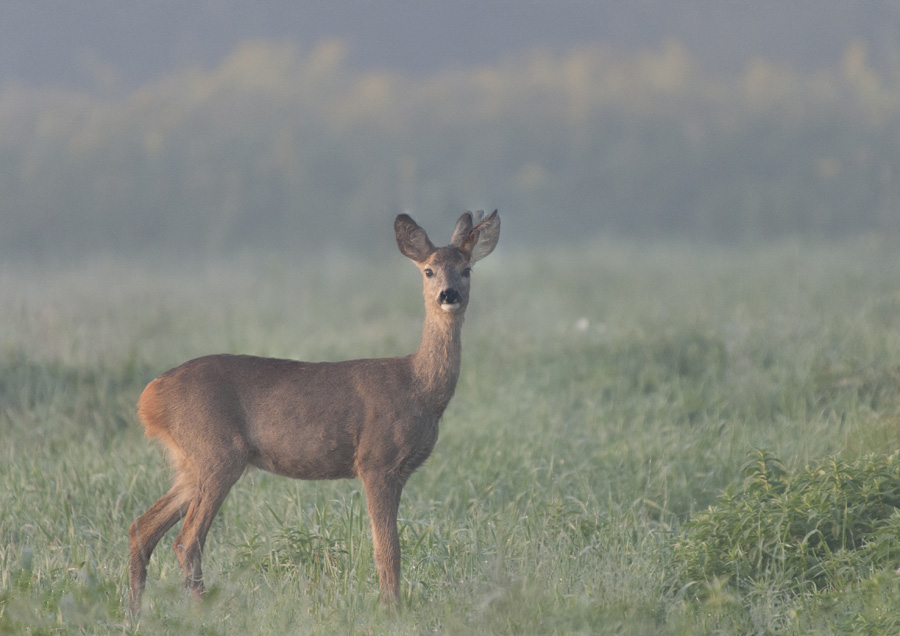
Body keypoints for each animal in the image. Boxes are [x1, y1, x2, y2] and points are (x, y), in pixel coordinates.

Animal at [128, 211, 500, 612]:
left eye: (466, 269)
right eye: (429, 270)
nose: (450, 295)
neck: (418, 387)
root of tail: (149, 398)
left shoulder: (395, 470)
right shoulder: (376, 461)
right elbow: (388, 549)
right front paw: (392, 609)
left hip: (190, 463)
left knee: (142, 528)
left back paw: (134, 613)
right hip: (217, 453)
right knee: (187, 540)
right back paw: (203, 612)